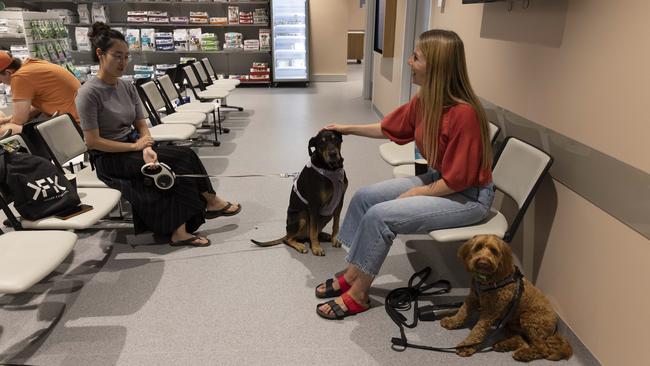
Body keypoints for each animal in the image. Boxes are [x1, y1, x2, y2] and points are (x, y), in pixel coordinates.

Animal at [438, 234, 568, 360]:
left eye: (494, 251)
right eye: (478, 247)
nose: (483, 262)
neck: (487, 280)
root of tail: (555, 327)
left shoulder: (490, 311)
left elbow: (478, 329)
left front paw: (467, 346)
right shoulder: (473, 298)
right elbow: (462, 311)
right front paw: (452, 321)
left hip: (529, 319)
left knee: (543, 349)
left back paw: (524, 354)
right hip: (510, 324)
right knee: (522, 341)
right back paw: (504, 345)